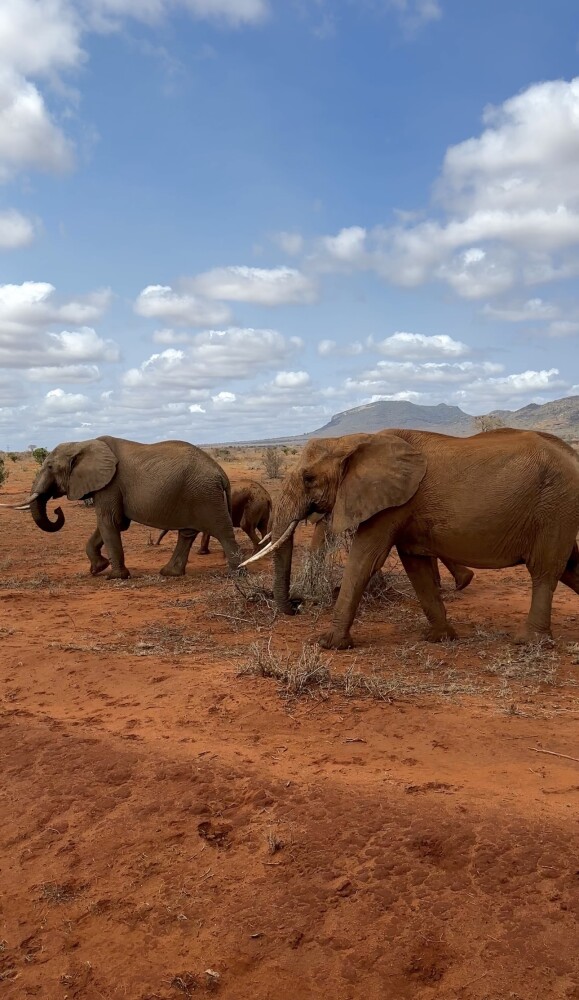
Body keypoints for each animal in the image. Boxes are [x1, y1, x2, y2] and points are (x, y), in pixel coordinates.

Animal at [12, 436, 242, 579]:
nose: (57, 510)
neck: (81, 444)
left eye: (50, 467)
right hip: (196, 494)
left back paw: (237, 574)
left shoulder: (111, 484)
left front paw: (115, 577)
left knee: (222, 531)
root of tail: (220, 472)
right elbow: (112, 524)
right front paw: (97, 568)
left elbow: (109, 523)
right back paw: (169, 573)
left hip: (205, 494)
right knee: (187, 533)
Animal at [243, 427, 579, 649]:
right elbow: (415, 565)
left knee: (545, 570)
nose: (298, 605)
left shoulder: (392, 504)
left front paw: (329, 643)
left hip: (555, 505)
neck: (353, 440)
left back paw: (528, 642)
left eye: (309, 478)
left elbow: (365, 559)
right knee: (571, 567)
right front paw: (439, 638)